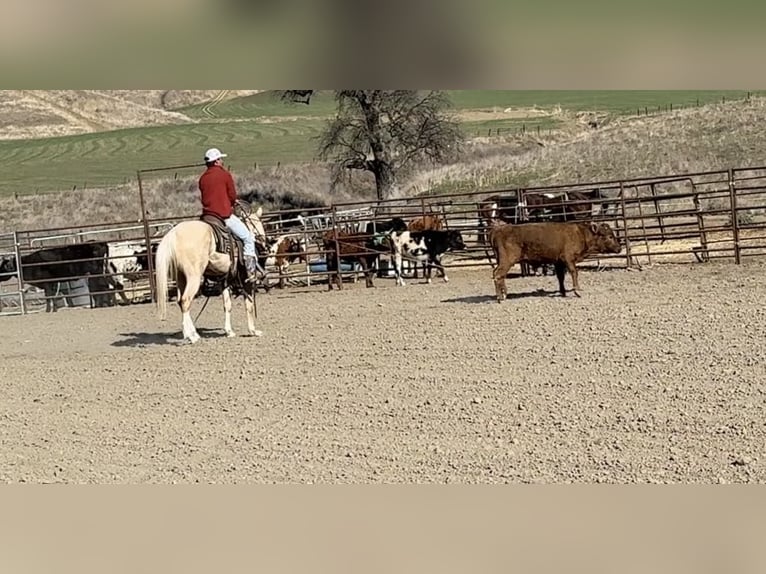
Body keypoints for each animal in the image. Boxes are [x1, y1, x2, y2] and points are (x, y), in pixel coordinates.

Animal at [155, 204, 270, 344]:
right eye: (259, 223)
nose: (264, 244)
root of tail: (174, 233)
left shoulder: (225, 280)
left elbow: (227, 305)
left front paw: (229, 331)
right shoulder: (245, 279)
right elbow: (249, 304)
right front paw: (253, 331)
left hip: (181, 278)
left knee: (180, 302)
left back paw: (192, 333)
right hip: (193, 278)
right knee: (186, 301)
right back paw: (192, 336)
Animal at [492, 220, 624, 304]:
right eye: (610, 236)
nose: (619, 248)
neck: (580, 234)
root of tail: (498, 230)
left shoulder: (558, 262)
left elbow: (560, 277)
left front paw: (563, 292)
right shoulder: (568, 259)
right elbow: (574, 272)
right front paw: (577, 290)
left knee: (499, 274)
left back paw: (504, 294)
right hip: (507, 260)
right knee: (498, 274)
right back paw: (501, 297)